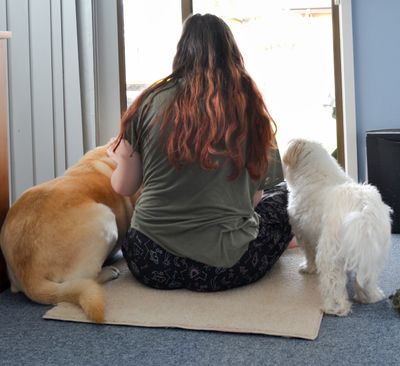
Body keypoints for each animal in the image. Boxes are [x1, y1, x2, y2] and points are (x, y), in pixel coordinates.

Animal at [282, 139, 392, 316]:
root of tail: (363, 209)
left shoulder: (303, 233)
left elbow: (309, 254)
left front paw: (308, 268)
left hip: (329, 253)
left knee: (333, 283)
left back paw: (334, 307)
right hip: (373, 252)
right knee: (367, 278)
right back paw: (371, 297)